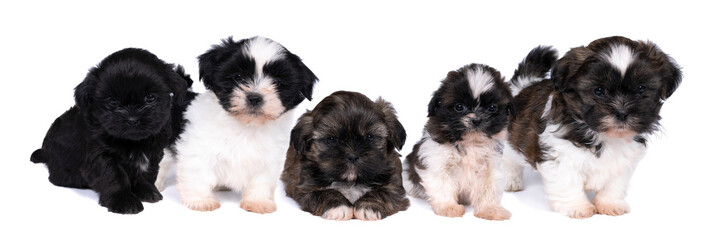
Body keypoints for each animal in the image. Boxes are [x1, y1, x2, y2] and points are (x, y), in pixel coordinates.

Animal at [30, 48, 193, 214]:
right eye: (113, 102)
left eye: (150, 98)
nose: (132, 119)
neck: (134, 142)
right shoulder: (101, 155)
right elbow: (113, 176)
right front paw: (123, 200)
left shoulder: (153, 151)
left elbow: (147, 173)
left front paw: (147, 191)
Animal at [155, 35, 318, 212]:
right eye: (238, 77)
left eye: (277, 82)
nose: (254, 97)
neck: (246, 125)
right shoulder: (197, 150)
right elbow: (198, 174)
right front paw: (201, 200)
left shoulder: (268, 160)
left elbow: (261, 181)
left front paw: (258, 202)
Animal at [286, 90, 414, 221]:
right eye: (331, 139)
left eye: (369, 137)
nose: (352, 156)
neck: (350, 182)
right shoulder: (305, 187)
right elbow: (324, 192)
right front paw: (338, 206)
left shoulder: (394, 187)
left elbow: (382, 192)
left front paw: (369, 207)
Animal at [404, 63, 516, 219]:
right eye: (459, 107)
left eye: (492, 108)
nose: (476, 120)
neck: (470, 143)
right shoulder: (438, 161)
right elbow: (442, 185)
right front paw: (448, 207)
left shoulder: (490, 165)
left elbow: (488, 188)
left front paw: (490, 209)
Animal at [504, 36, 684, 218]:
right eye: (599, 90)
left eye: (641, 89)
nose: (622, 113)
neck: (604, 136)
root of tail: (522, 88)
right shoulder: (560, 157)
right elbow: (568, 183)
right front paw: (577, 206)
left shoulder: (623, 163)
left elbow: (615, 185)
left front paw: (610, 204)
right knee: (509, 160)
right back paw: (510, 180)